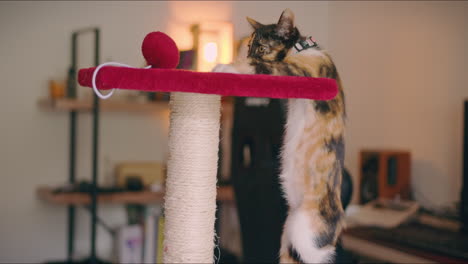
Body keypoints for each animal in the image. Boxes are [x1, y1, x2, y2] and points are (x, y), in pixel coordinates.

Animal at [214, 8, 346, 264]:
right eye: (249, 47)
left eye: (261, 48)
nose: (249, 54)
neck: (303, 47)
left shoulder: (294, 72)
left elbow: (260, 69)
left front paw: (224, 68)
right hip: (288, 237)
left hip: (306, 236)